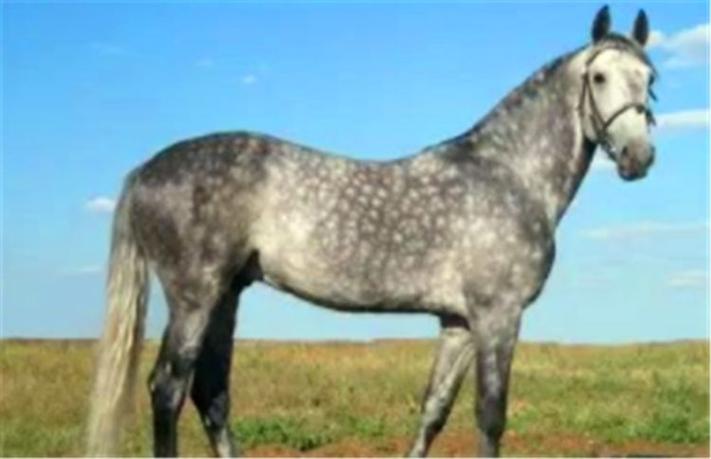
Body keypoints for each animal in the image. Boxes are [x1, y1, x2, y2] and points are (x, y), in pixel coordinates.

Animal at [87, 5, 657, 457]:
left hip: (226, 295)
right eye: (599, 77)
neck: (508, 173)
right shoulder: (498, 315)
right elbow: (491, 417)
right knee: (168, 390)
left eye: (649, 79)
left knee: (211, 395)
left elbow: (434, 410)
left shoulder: (458, 322)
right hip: (195, 296)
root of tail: (146, 169)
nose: (639, 157)